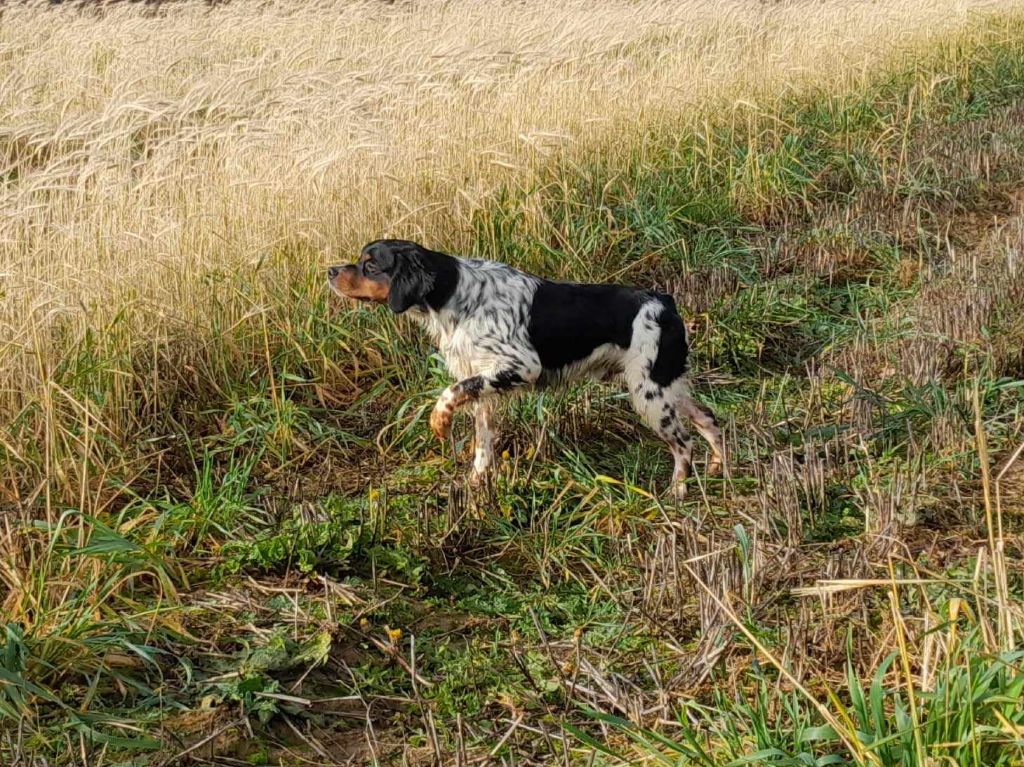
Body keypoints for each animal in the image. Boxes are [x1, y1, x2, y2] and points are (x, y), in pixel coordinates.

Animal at [325, 236, 720, 497]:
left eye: (371, 265)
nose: (330, 270)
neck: (457, 297)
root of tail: (665, 302)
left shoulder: (521, 366)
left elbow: (449, 392)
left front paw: (439, 421)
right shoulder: (484, 384)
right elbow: (482, 445)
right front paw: (475, 489)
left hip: (649, 393)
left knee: (684, 443)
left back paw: (677, 493)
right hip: (664, 386)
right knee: (709, 418)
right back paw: (721, 470)